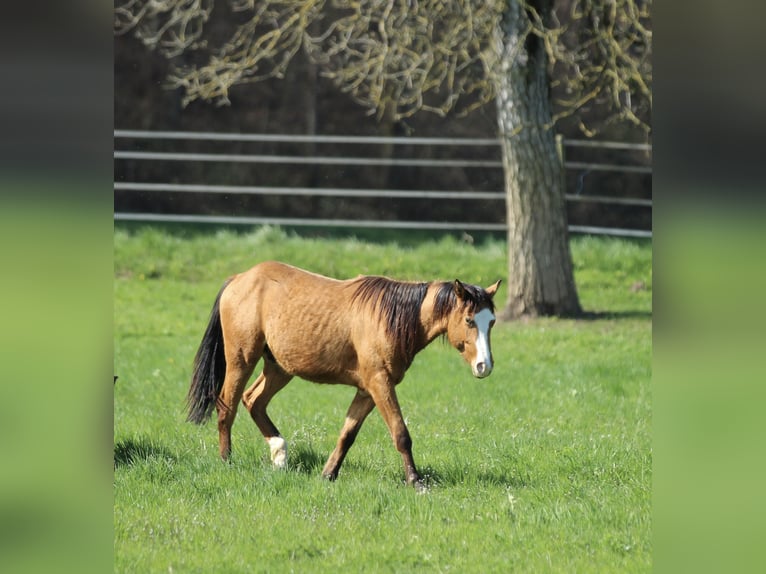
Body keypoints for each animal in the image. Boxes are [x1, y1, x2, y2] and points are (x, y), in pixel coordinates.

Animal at [186, 260, 500, 489]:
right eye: (469, 320)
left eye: (492, 322)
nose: (484, 366)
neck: (391, 318)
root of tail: (239, 278)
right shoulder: (379, 383)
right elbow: (400, 433)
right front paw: (415, 481)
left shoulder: (367, 390)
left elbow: (347, 434)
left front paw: (328, 474)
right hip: (242, 359)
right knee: (227, 406)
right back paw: (227, 460)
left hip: (279, 367)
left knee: (254, 401)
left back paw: (279, 454)